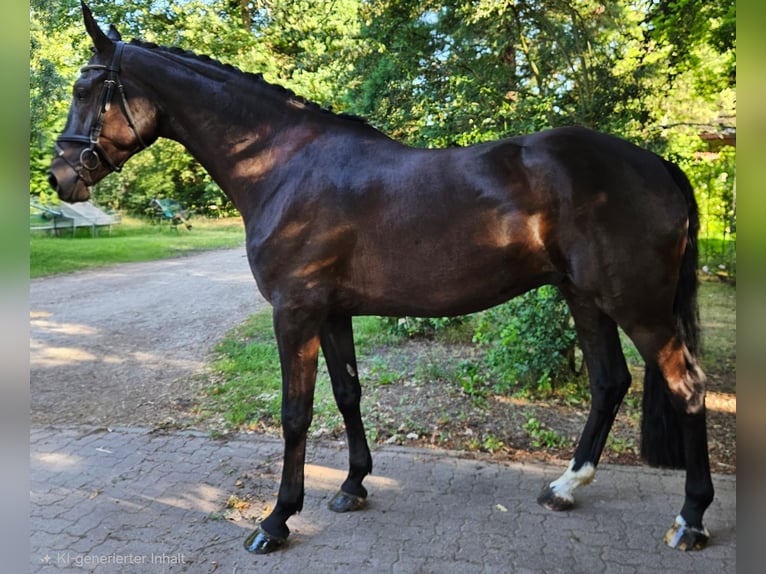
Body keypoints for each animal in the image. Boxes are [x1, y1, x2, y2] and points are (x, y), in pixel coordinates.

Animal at [48, 3, 714, 554]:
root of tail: (656, 163)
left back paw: (691, 520)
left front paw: (276, 521)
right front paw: (353, 485)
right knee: (609, 382)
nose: (60, 177)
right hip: (585, 297)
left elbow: (295, 412)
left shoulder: (294, 311)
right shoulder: (332, 311)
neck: (284, 163)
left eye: (86, 88)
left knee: (686, 389)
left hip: (638, 306)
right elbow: (348, 395)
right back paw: (566, 487)